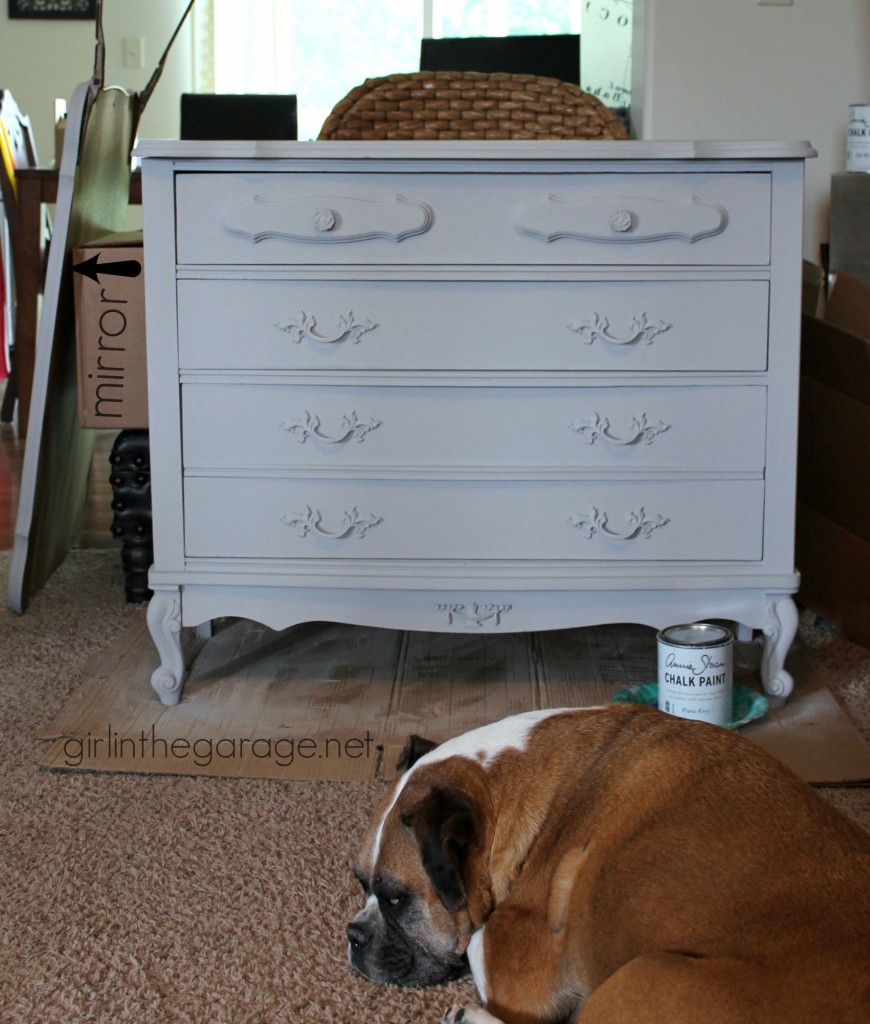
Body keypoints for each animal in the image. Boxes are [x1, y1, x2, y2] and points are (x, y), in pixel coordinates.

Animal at [345, 704, 867, 1024]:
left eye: (397, 899)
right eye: (360, 883)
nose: (353, 934)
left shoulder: (516, 969)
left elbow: (478, 939)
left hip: (643, 973)